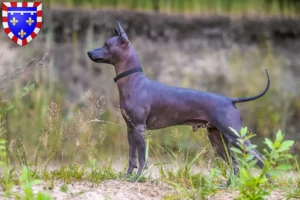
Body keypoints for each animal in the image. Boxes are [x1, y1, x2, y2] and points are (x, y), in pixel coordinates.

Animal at [86, 21, 270, 184]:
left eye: (106, 44)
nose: (89, 52)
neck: (134, 81)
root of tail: (231, 99)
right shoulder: (130, 129)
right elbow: (132, 157)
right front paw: (127, 176)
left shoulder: (139, 128)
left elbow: (141, 157)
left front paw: (137, 178)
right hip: (217, 140)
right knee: (234, 163)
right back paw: (229, 185)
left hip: (236, 136)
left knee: (258, 156)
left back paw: (267, 181)